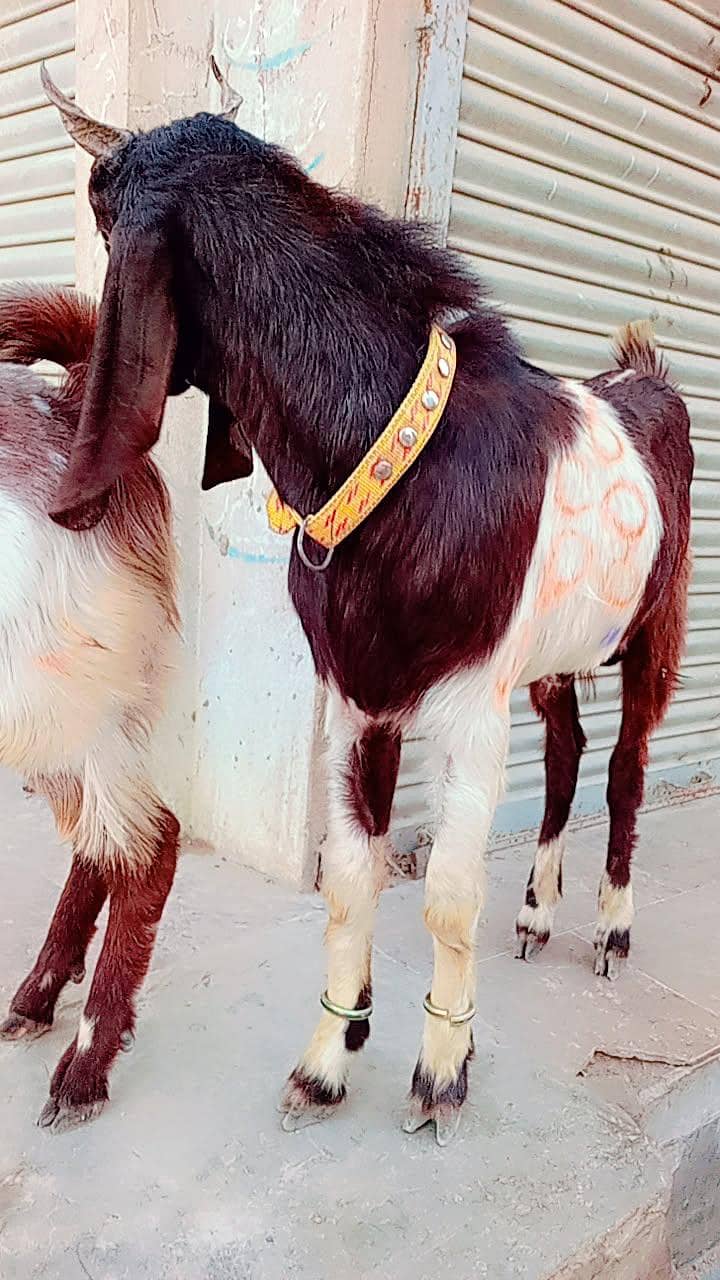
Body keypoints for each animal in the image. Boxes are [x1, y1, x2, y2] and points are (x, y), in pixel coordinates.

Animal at [43, 67, 693, 1145]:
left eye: (102, 213)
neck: (395, 464)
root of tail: (647, 378)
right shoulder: (359, 694)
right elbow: (352, 880)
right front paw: (327, 1059)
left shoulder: (469, 706)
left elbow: (444, 894)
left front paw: (442, 1074)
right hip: (549, 658)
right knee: (565, 751)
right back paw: (537, 914)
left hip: (657, 626)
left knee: (628, 769)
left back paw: (609, 928)